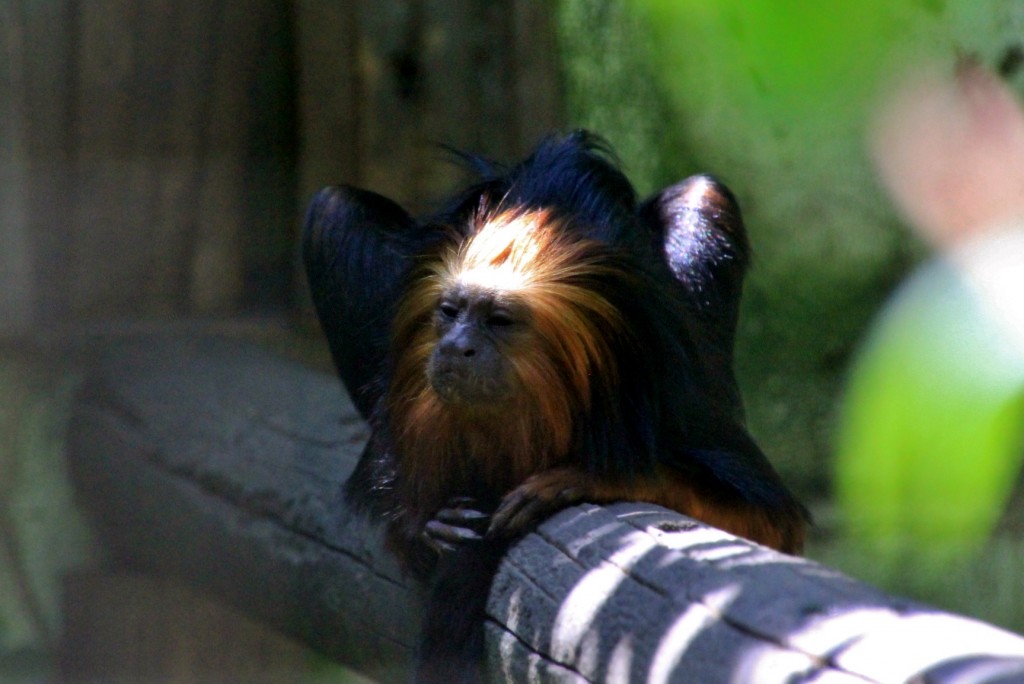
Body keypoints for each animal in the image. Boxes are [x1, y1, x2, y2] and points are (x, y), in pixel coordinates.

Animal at [299, 131, 811, 679]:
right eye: (450, 312)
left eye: (499, 321)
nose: (456, 347)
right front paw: (418, 521)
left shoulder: (670, 386)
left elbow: (764, 522)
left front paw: (593, 478)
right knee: (331, 207)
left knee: (705, 193)